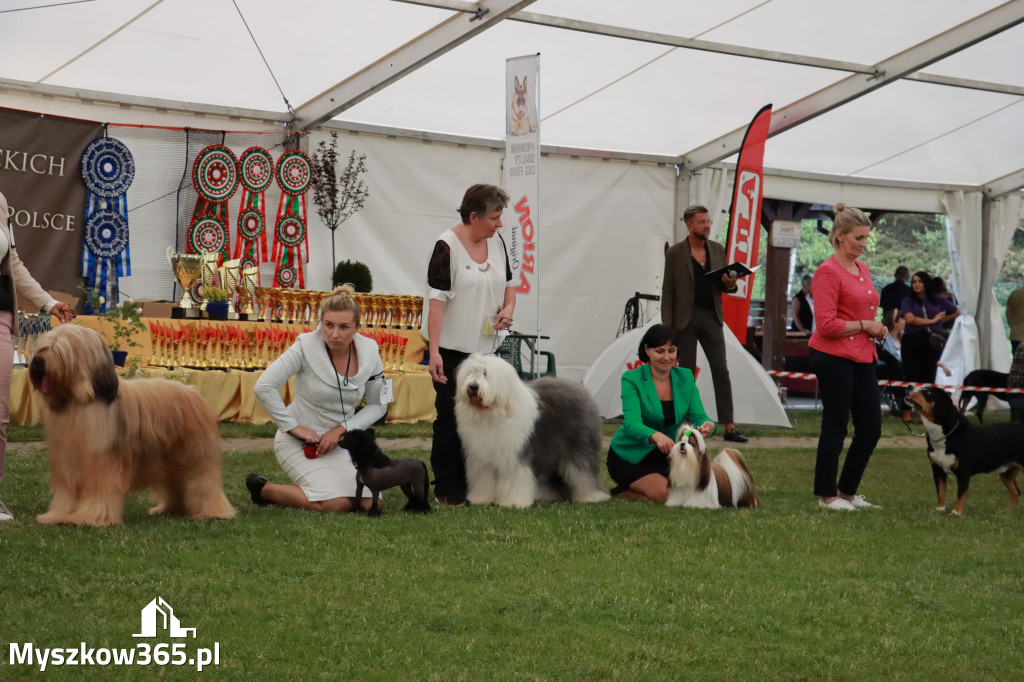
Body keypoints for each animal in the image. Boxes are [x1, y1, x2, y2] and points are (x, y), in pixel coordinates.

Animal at [28, 323, 237, 524]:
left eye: (60, 349)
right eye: (44, 346)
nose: (37, 362)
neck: (79, 402)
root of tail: (192, 391)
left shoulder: (99, 465)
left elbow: (98, 491)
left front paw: (90, 517)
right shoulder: (68, 465)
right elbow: (66, 494)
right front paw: (58, 515)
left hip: (194, 456)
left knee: (203, 481)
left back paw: (212, 512)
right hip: (168, 458)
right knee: (175, 484)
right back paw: (169, 509)